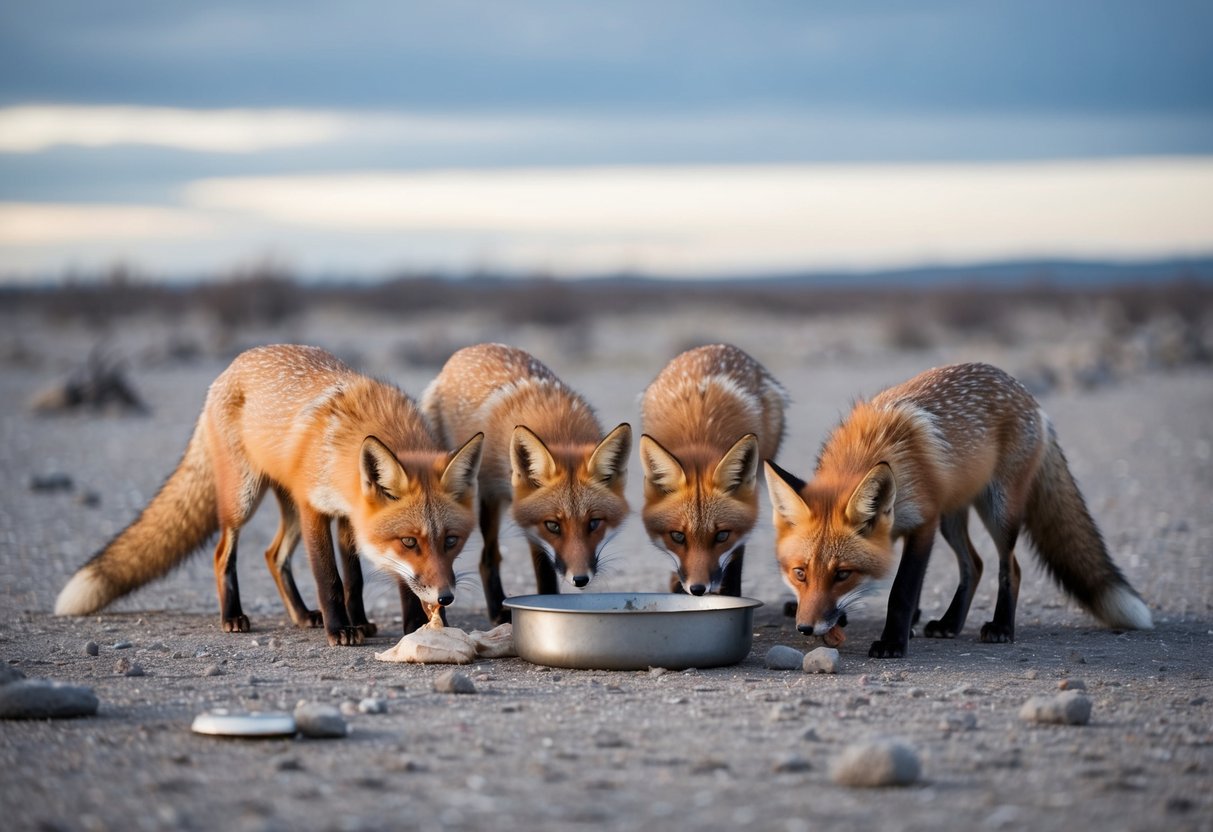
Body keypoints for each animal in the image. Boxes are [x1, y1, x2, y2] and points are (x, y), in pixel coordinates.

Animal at [54, 344, 485, 644]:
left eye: (451, 540)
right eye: (410, 541)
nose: (446, 598)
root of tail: (232, 366)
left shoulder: (351, 516)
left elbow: (357, 580)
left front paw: (380, 622)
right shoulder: (315, 508)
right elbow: (329, 577)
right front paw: (341, 630)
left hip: (286, 507)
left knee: (272, 555)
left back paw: (302, 615)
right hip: (243, 499)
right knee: (222, 554)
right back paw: (233, 617)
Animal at [421, 343, 631, 624]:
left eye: (594, 523)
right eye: (553, 525)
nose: (580, 579)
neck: (560, 431)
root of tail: (469, 349)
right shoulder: (529, 517)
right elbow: (543, 569)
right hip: (487, 496)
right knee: (487, 558)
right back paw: (496, 610)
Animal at [763, 362, 1153, 659]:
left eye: (843, 574)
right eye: (800, 573)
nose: (806, 628)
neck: (869, 452)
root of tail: (1025, 393)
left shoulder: (924, 524)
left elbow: (902, 591)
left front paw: (893, 642)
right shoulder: (915, 526)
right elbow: (913, 588)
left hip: (999, 511)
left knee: (1009, 566)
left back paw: (1001, 627)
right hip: (953, 518)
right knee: (974, 564)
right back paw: (950, 623)